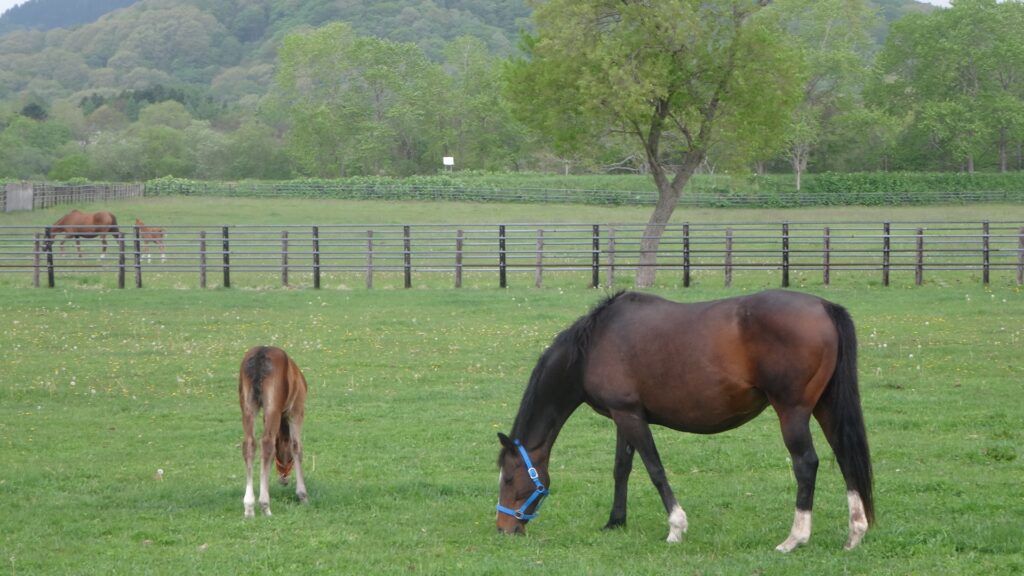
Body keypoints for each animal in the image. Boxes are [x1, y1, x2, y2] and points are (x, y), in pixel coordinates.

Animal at [495, 291, 872, 553]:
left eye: (510, 478)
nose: (503, 528)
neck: (593, 345)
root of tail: (824, 306)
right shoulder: (624, 415)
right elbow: (622, 469)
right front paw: (615, 522)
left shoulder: (630, 417)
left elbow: (655, 470)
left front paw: (676, 527)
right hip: (826, 407)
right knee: (845, 457)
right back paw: (855, 533)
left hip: (792, 412)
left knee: (806, 464)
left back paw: (794, 539)